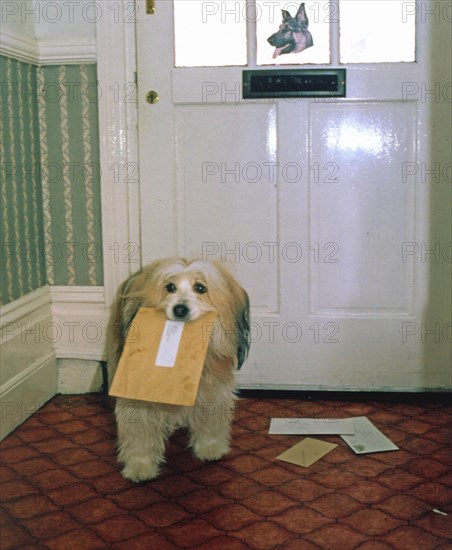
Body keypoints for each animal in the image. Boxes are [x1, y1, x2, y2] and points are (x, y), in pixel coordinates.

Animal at [109, 258, 251, 484]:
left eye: (200, 288)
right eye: (170, 287)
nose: (180, 309)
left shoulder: (212, 390)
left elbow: (210, 419)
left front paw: (210, 447)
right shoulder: (137, 398)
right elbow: (140, 434)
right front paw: (140, 466)